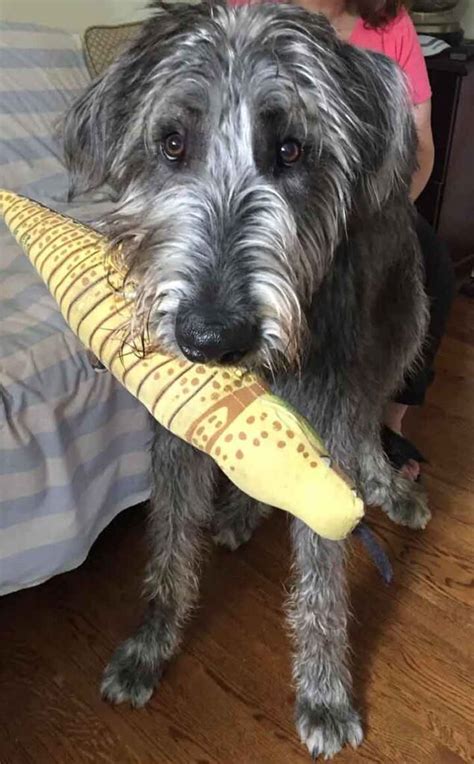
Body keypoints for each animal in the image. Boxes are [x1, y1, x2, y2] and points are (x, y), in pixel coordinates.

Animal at [64, 2, 434, 760]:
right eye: (172, 143)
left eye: (291, 150)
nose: (212, 337)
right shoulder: (177, 423)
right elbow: (171, 535)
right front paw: (152, 641)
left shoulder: (328, 404)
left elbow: (323, 570)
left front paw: (324, 692)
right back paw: (240, 512)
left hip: (400, 324)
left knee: (371, 413)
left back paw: (387, 484)